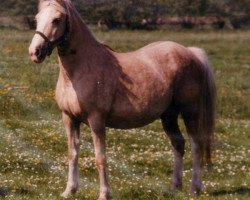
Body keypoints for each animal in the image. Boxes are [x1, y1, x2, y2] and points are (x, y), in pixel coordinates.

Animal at [28, 0, 216, 199]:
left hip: (190, 112)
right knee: (178, 144)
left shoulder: (96, 120)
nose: (35, 52)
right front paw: (69, 190)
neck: (79, 69)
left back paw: (194, 188)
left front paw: (104, 193)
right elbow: (72, 153)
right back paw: (174, 187)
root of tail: (191, 52)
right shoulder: (69, 118)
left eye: (57, 19)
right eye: (37, 18)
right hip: (168, 115)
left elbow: (100, 157)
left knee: (196, 145)